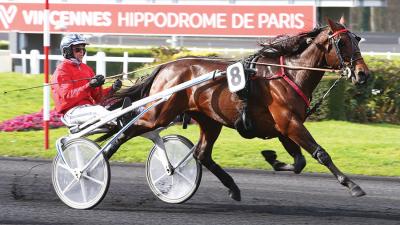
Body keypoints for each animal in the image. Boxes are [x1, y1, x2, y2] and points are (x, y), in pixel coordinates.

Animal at [102, 18, 368, 200]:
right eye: (341, 42)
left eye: (356, 39)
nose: (363, 74)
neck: (290, 73)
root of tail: (165, 67)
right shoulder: (289, 122)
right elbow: (320, 154)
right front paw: (352, 185)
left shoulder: (285, 127)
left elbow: (300, 161)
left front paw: (273, 159)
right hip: (158, 113)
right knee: (127, 130)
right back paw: (100, 160)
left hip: (209, 120)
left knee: (202, 154)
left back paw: (233, 187)